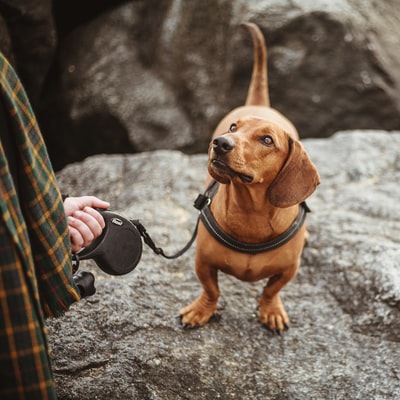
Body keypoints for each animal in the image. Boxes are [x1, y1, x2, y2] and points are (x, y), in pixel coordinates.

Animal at [180, 21, 320, 332]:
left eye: (267, 140)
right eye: (233, 128)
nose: (220, 143)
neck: (250, 213)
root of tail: (260, 103)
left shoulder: (288, 270)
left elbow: (271, 290)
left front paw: (271, 310)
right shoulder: (203, 262)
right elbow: (211, 289)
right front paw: (201, 310)